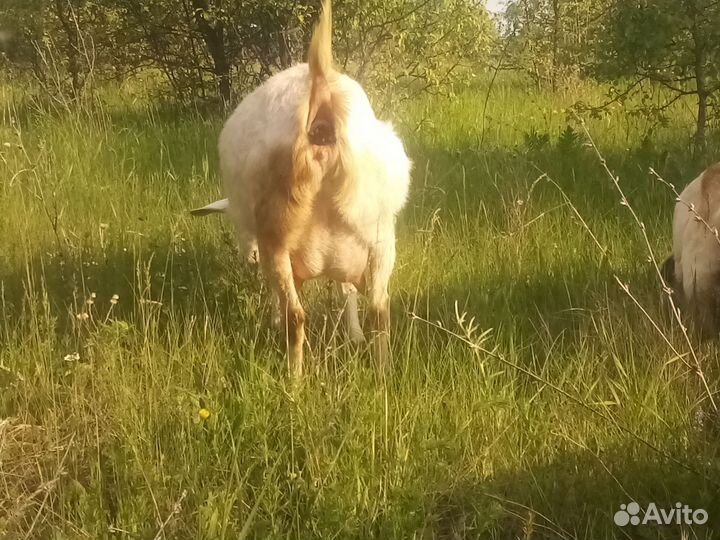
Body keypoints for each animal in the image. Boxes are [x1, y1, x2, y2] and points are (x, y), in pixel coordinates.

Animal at [192, 0, 411, 376]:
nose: (249, 257)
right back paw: (383, 373)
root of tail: (320, 86)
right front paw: (354, 336)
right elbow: (348, 292)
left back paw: (293, 380)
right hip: (382, 237)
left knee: (296, 316)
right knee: (379, 311)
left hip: (277, 237)